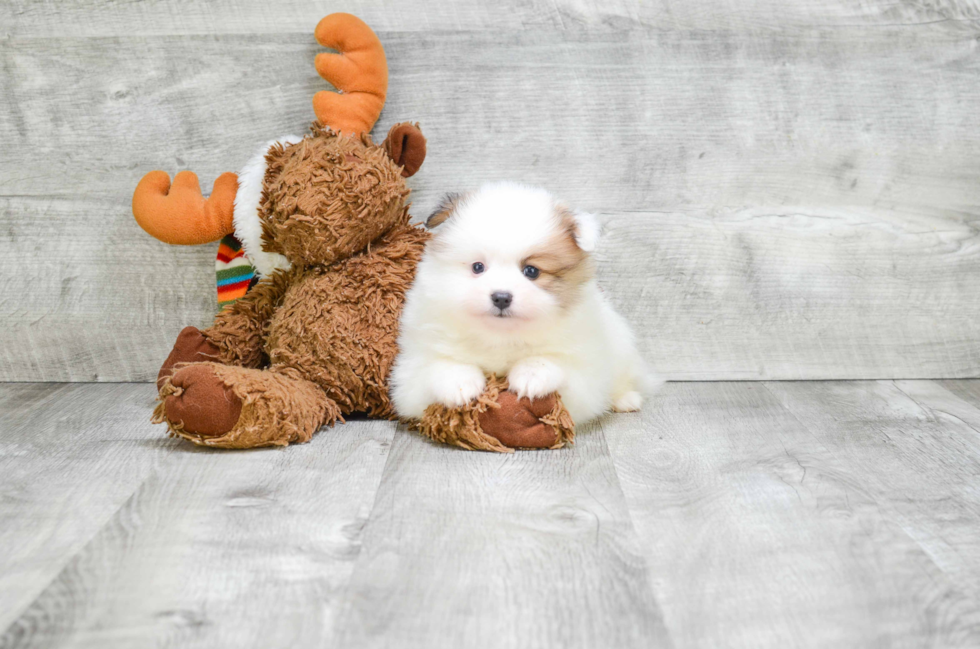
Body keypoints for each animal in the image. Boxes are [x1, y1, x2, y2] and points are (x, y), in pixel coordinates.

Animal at [390, 181, 660, 426]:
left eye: (531, 271)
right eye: (478, 267)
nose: (501, 297)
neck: (500, 337)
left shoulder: (584, 378)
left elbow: (553, 363)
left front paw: (532, 375)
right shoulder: (411, 373)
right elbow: (440, 366)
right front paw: (459, 384)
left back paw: (626, 399)